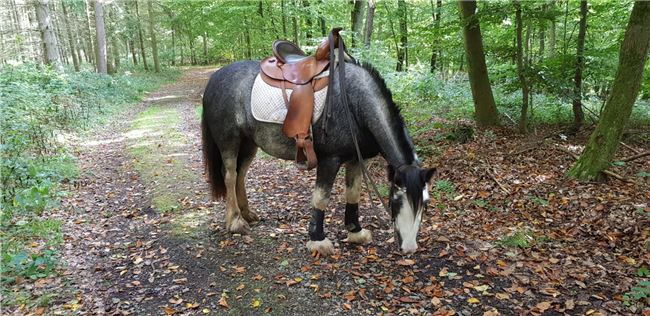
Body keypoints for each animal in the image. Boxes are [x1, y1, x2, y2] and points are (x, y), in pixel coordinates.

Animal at [201, 60, 436, 256]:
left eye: (425, 203)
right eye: (396, 200)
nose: (409, 247)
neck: (354, 105)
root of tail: (215, 77)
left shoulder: (355, 160)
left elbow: (353, 193)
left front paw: (356, 232)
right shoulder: (329, 160)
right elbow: (321, 198)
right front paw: (318, 240)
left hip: (249, 143)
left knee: (240, 174)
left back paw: (247, 214)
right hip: (229, 141)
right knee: (230, 176)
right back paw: (235, 222)